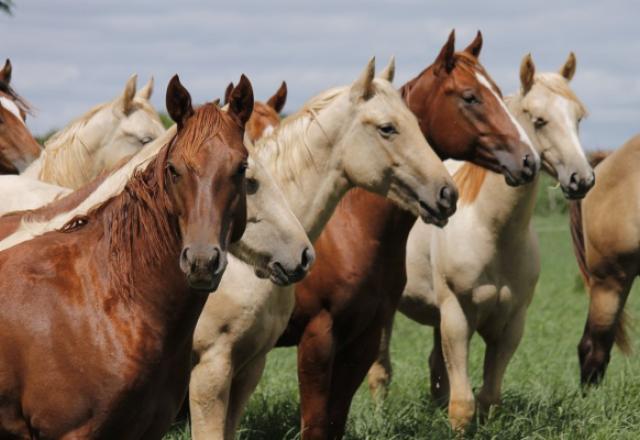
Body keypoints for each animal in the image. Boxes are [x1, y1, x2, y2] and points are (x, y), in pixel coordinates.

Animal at [270, 29, 540, 438]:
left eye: (496, 90)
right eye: (470, 96)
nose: (528, 161)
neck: (349, 230)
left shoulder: (364, 336)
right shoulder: (317, 336)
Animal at [370, 51, 596, 430]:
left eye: (578, 117)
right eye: (539, 120)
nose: (582, 179)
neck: (490, 231)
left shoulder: (511, 323)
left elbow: (488, 398)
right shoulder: (457, 317)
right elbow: (463, 405)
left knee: (436, 372)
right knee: (380, 371)